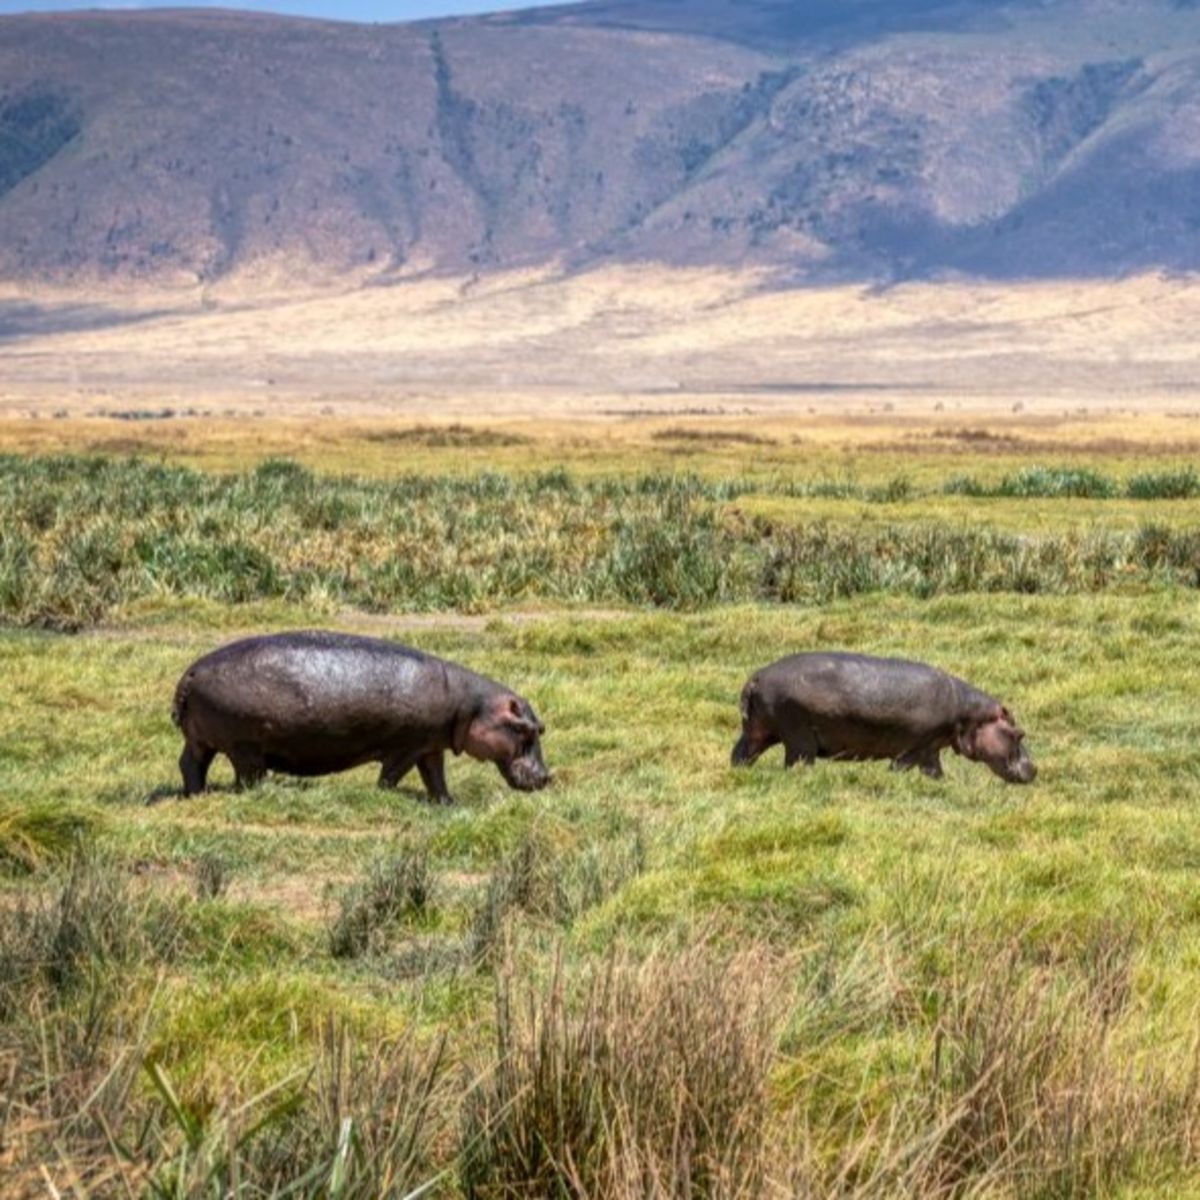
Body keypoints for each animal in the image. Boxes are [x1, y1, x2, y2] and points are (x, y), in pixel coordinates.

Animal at [170, 628, 552, 806]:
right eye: (527, 730)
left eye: (542, 728)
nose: (547, 777)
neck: (471, 705)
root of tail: (190, 673)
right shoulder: (407, 746)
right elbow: (391, 776)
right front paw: (386, 794)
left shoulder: (431, 745)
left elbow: (436, 777)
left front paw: (448, 802)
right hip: (245, 747)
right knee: (246, 776)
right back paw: (254, 792)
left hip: (201, 739)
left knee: (191, 764)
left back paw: (196, 796)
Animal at [724, 652, 1036, 782]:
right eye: (1019, 733)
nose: (1035, 769)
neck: (970, 714)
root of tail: (756, 678)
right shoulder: (918, 745)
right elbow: (901, 766)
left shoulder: (932, 748)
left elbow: (935, 772)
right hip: (798, 737)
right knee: (797, 762)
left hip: (758, 732)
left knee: (740, 754)